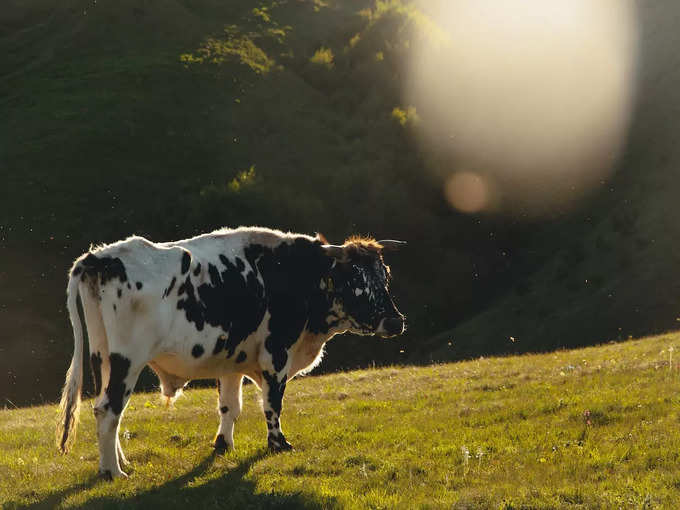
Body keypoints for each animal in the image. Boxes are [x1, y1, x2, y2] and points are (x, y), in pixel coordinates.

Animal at [57, 227, 404, 478]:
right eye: (355, 278)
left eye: (385, 275)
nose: (396, 321)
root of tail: (99, 257)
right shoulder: (275, 355)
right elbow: (272, 404)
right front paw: (278, 444)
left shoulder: (231, 362)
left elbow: (229, 407)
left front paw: (223, 444)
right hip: (126, 361)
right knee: (108, 410)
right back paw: (113, 472)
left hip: (103, 358)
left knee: (106, 412)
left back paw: (121, 463)